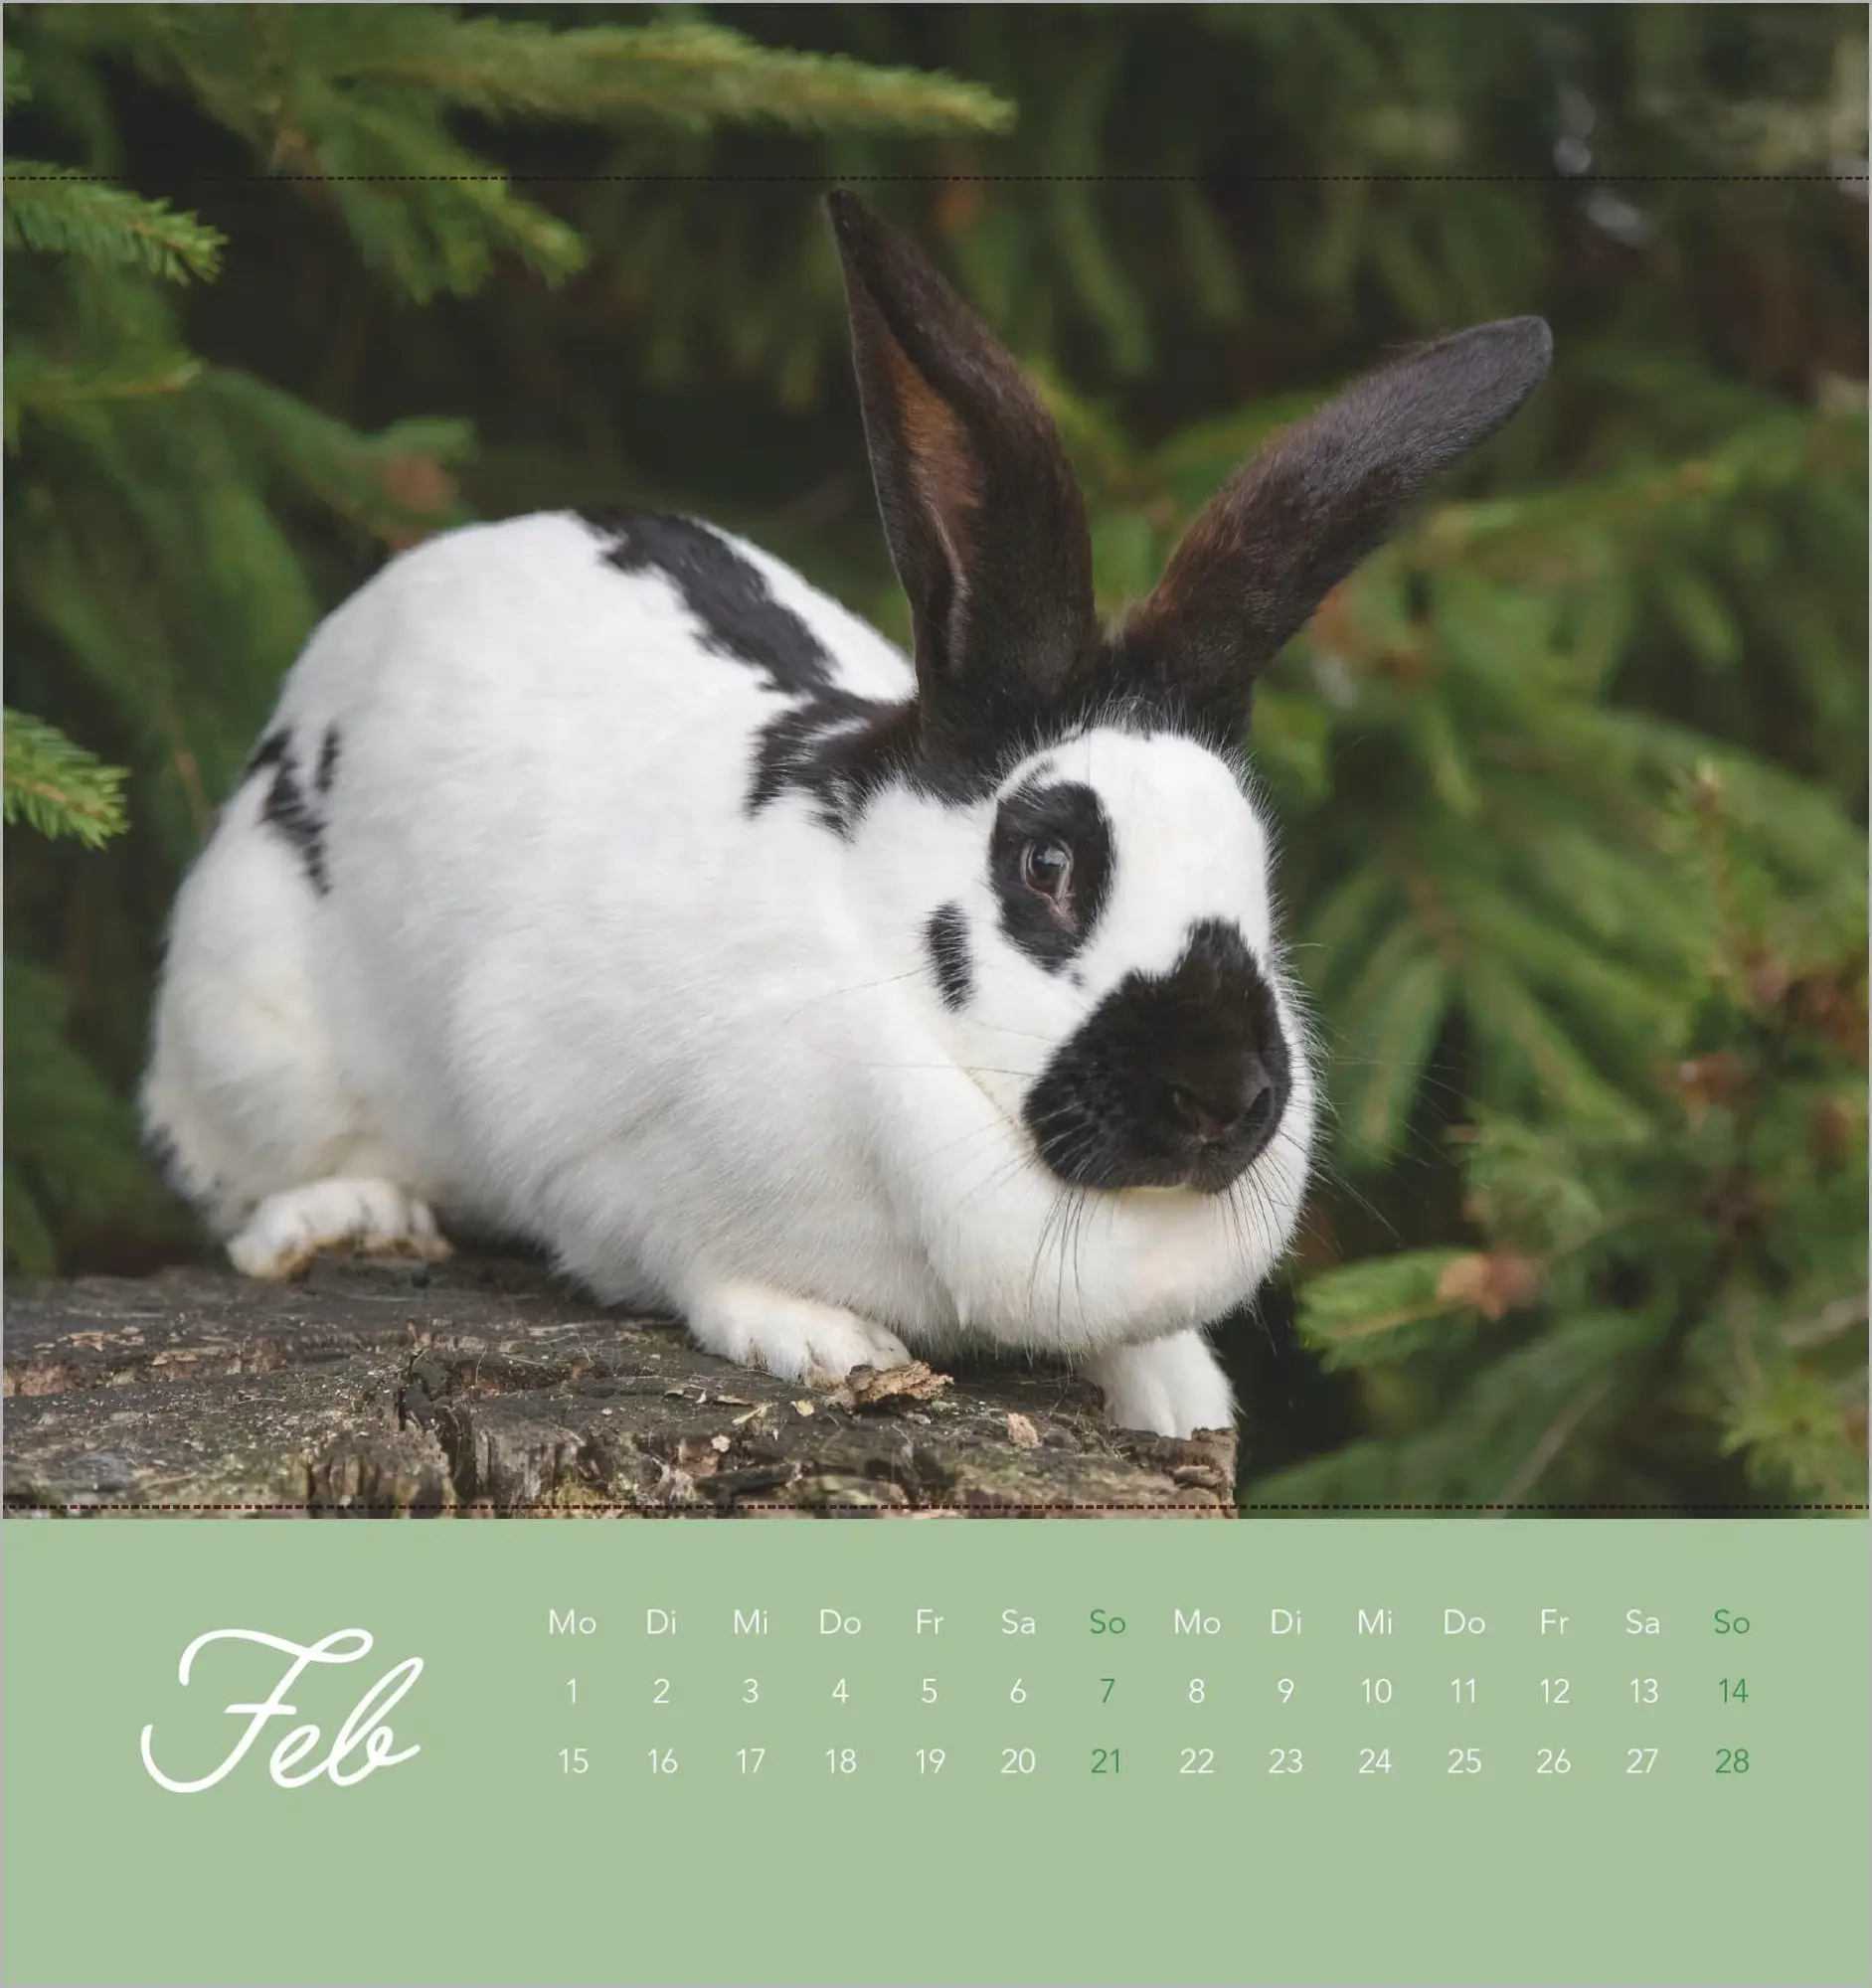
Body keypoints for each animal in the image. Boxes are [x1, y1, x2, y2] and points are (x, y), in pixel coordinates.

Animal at [140, 189, 1550, 1440]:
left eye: (1255, 870)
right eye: (1047, 863)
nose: (1221, 1094)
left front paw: (1172, 1388)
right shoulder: (575, 1126)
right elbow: (686, 1253)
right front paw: (824, 1341)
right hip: (247, 1006)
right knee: (239, 1183)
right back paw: (347, 1214)